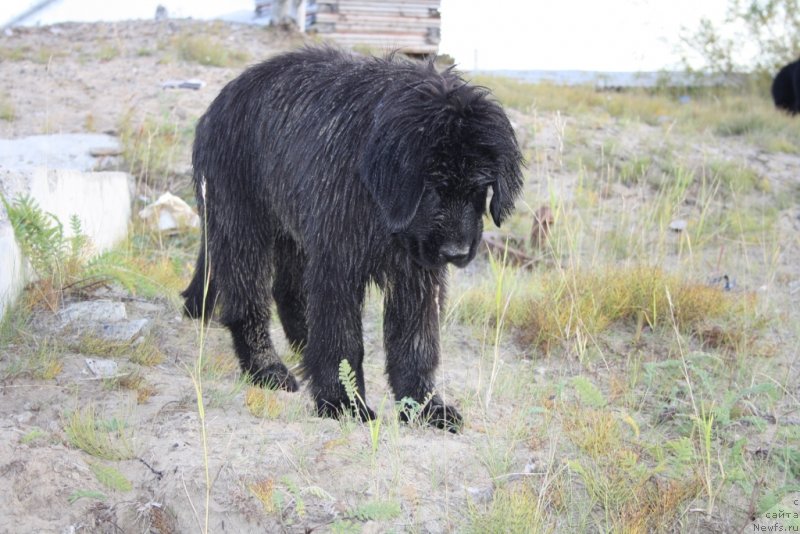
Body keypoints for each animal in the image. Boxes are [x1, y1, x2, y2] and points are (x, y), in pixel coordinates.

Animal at [187, 45, 524, 432]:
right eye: (433, 186)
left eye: (479, 187)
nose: (456, 253)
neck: (379, 198)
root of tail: (218, 103)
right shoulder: (338, 263)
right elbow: (343, 339)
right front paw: (343, 404)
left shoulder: (416, 273)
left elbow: (416, 342)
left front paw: (425, 407)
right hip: (242, 226)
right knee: (248, 302)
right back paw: (267, 369)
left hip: (294, 233)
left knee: (288, 292)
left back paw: (304, 350)